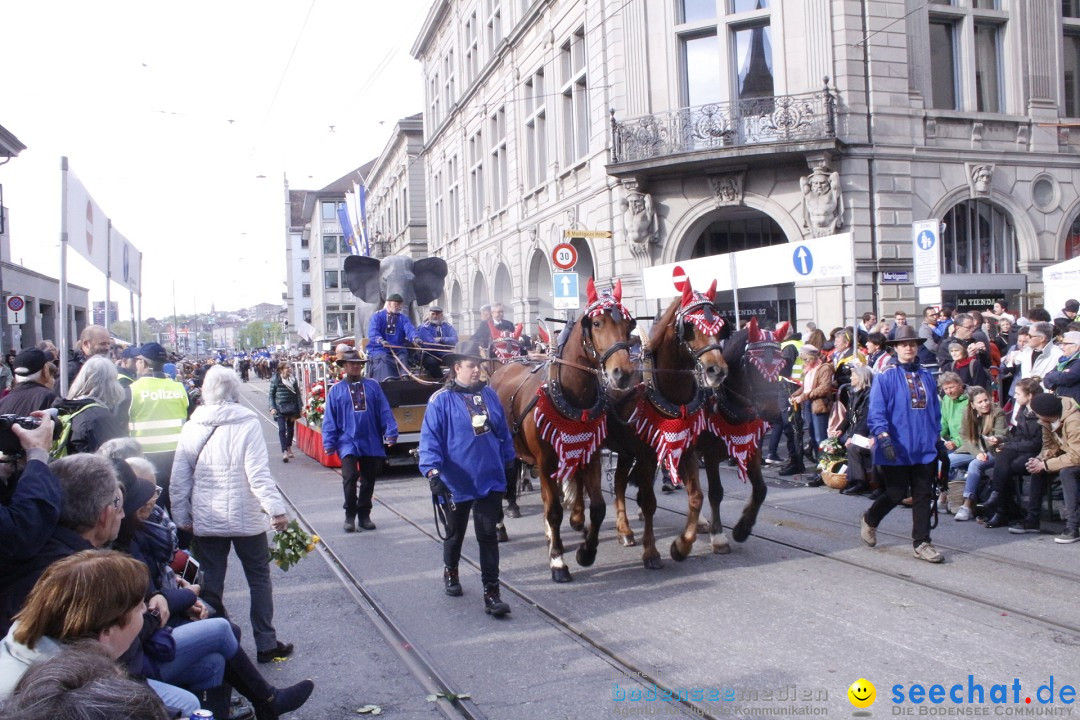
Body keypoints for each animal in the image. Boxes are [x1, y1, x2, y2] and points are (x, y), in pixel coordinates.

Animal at [492, 278, 635, 582]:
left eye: (629, 326)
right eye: (597, 323)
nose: (623, 373)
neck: (572, 396)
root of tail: (504, 367)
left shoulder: (589, 456)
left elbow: (597, 507)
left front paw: (586, 552)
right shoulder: (545, 462)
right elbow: (554, 509)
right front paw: (558, 561)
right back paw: (500, 525)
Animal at [613, 278, 730, 565]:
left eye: (720, 325)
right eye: (690, 326)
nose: (717, 371)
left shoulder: (686, 446)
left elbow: (696, 496)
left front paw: (682, 545)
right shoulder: (646, 453)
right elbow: (649, 501)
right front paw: (651, 551)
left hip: (625, 450)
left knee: (619, 483)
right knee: (616, 484)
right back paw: (623, 530)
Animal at [695, 317, 790, 557]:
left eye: (781, 365)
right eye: (752, 366)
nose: (772, 412)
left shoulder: (752, 448)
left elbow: (761, 490)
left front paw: (742, 529)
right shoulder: (710, 454)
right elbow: (716, 492)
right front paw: (719, 536)